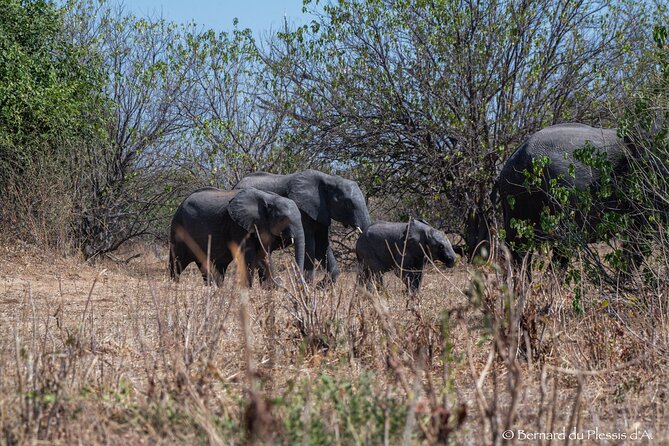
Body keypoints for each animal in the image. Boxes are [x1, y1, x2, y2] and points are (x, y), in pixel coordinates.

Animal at [168, 186, 304, 288]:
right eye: (283, 219)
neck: (269, 198)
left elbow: (264, 255)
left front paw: (272, 288)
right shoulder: (237, 226)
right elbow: (251, 256)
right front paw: (248, 289)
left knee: (211, 266)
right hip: (178, 229)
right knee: (177, 263)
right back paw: (173, 286)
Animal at [234, 169, 370, 284]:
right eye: (348, 204)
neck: (328, 180)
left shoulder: (320, 211)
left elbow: (322, 245)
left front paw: (320, 286)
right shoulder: (304, 210)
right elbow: (310, 244)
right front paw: (309, 284)